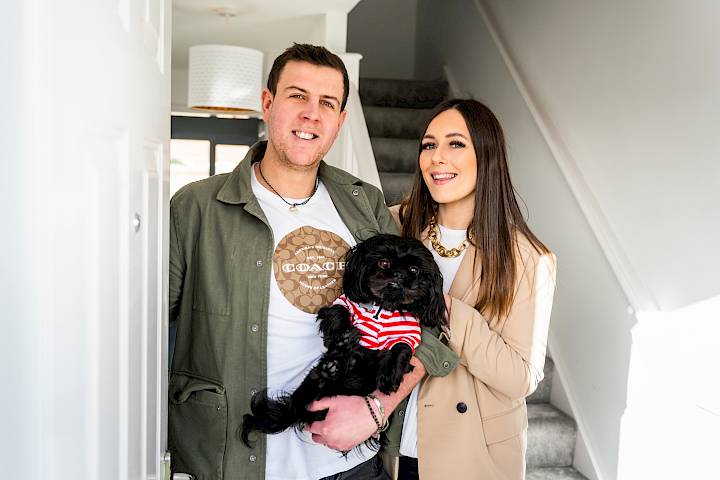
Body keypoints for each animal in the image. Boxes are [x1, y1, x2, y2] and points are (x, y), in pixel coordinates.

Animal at [240, 234, 444, 448]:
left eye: (414, 270)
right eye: (383, 262)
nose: (398, 275)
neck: (384, 306)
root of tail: (295, 409)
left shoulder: (409, 332)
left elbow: (401, 347)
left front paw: (389, 374)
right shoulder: (344, 303)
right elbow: (339, 312)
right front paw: (344, 336)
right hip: (312, 385)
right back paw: (336, 362)